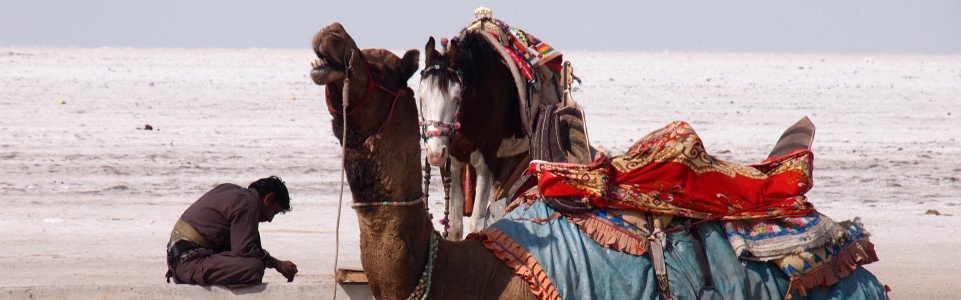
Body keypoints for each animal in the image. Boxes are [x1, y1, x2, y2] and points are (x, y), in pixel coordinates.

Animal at [310, 22, 528, 298]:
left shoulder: (485, 158)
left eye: (379, 68)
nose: (332, 31)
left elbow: (476, 219)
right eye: (422, 96)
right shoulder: (452, 159)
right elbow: (456, 223)